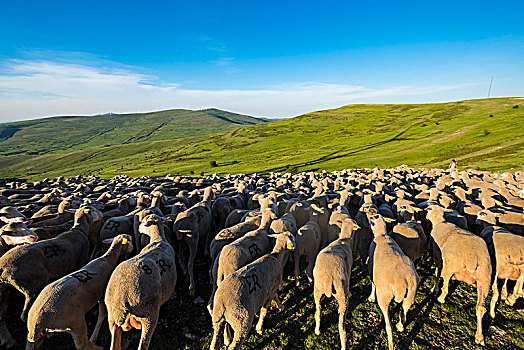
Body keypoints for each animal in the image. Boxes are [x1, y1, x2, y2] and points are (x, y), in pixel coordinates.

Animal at [0, 206, 102, 346]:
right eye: (93, 209)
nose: (102, 215)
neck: (78, 230)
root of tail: (3, 268)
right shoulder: (82, 260)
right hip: (31, 286)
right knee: (25, 316)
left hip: (6, 289)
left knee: (2, 315)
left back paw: (8, 340)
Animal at [104, 213, 176, 350]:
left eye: (143, 222)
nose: (138, 229)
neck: (158, 239)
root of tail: (123, 300)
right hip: (148, 314)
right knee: (143, 344)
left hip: (112, 318)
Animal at [314, 219, 358, 350]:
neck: (343, 239)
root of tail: (328, 278)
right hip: (342, 292)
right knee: (341, 326)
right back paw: (344, 345)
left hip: (317, 289)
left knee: (318, 312)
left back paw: (317, 331)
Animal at [366, 215, 420, 350]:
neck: (382, 235)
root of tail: (401, 283)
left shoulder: (371, 269)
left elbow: (373, 284)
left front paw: (371, 298)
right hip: (411, 293)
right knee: (405, 310)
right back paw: (400, 326)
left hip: (384, 297)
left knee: (388, 325)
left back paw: (390, 344)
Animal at [424, 205, 494, 344]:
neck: (439, 222)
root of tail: (473, 257)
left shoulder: (438, 258)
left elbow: (437, 274)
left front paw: (434, 289)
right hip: (484, 280)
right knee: (481, 308)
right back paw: (479, 337)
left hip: (450, 267)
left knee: (445, 287)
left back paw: (440, 299)